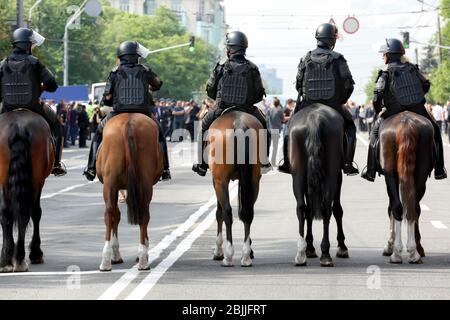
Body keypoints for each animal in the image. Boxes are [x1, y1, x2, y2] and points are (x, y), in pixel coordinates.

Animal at [0, 110, 54, 272]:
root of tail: (18, 129)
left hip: (3, 180)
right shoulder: (39, 182)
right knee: (26, 213)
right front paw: (36, 253)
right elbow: (36, 213)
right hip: (36, 182)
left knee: (6, 213)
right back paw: (20, 259)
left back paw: (7, 260)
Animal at [96, 114, 163, 272]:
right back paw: (142, 258)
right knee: (142, 214)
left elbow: (116, 215)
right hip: (142, 184)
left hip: (110, 184)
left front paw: (116, 254)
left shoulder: (114, 187)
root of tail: (129, 122)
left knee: (110, 213)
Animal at [207, 110, 264, 268]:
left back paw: (228, 256)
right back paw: (246, 256)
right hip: (254, 180)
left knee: (227, 212)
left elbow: (219, 213)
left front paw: (218, 251)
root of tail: (239, 124)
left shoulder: (217, 181)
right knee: (248, 212)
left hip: (221, 181)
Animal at [290, 104, 350, 268]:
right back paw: (325, 253)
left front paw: (309, 247)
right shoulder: (338, 176)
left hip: (298, 175)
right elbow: (338, 209)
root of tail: (315, 118)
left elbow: (309, 211)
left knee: (301, 207)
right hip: (331, 175)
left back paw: (301, 254)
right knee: (327, 208)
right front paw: (342, 246)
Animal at [378, 111, 434, 264]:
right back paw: (412, 252)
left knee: (399, 208)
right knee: (411, 208)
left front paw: (390, 245)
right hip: (420, 174)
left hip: (391, 174)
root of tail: (406, 124)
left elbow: (391, 208)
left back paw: (398, 253)